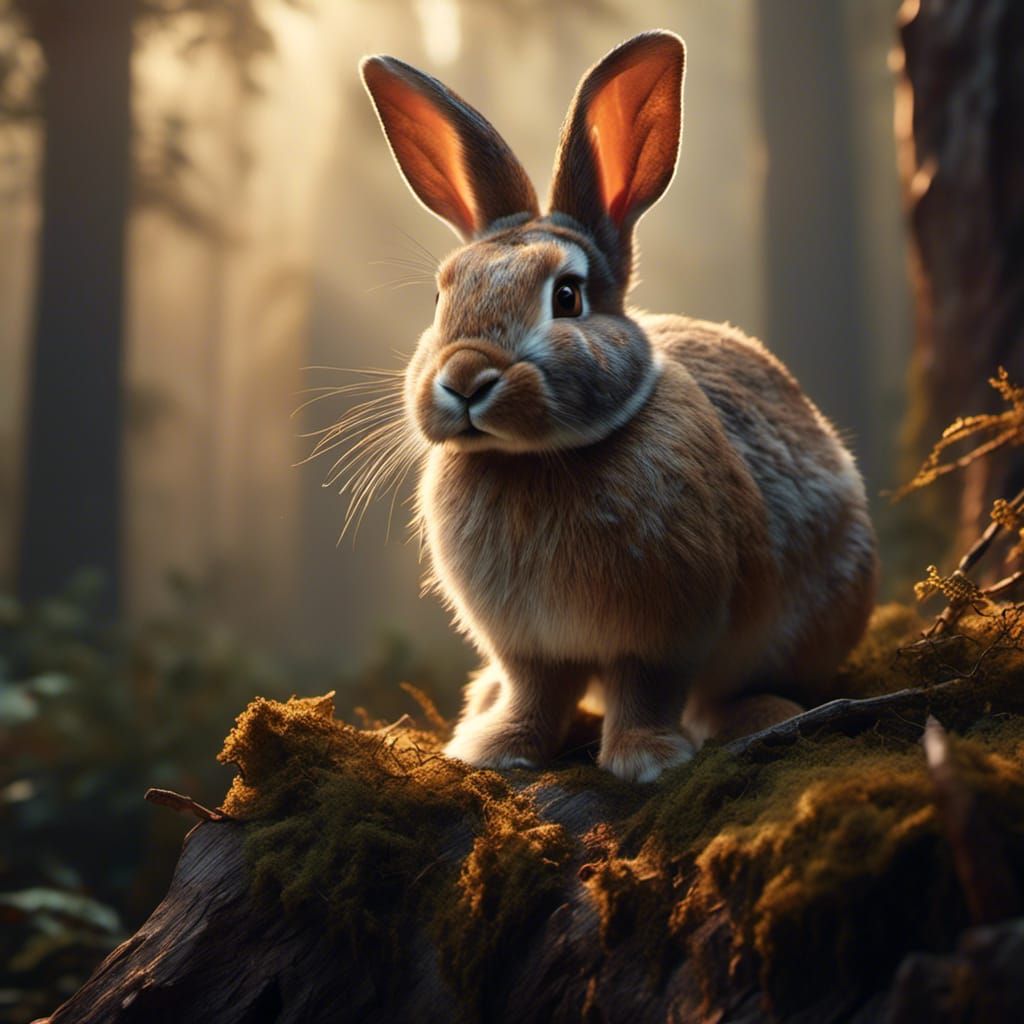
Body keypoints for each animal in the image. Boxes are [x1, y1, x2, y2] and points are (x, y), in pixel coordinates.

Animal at [359, 30, 877, 783]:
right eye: (440, 296)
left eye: (567, 296)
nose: (464, 377)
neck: (534, 461)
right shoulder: (529, 646)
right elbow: (535, 693)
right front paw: (496, 750)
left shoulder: (664, 633)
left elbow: (645, 688)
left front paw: (646, 760)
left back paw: (755, 717)